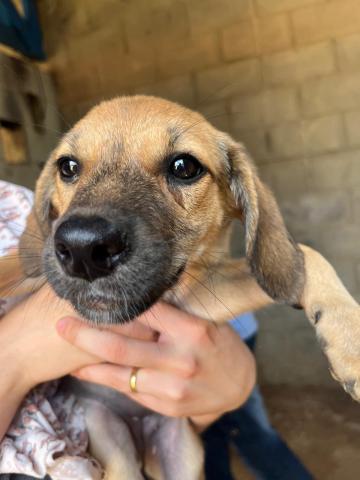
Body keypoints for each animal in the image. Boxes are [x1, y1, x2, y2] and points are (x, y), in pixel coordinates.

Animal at [2, 94, 360, 480]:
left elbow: (305, 255)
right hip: (108, 434)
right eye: (67, 167)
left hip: (180, 452)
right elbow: (11, 266)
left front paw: (349, 344)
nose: (82, 249)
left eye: (184, 167)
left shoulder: (197, 296)